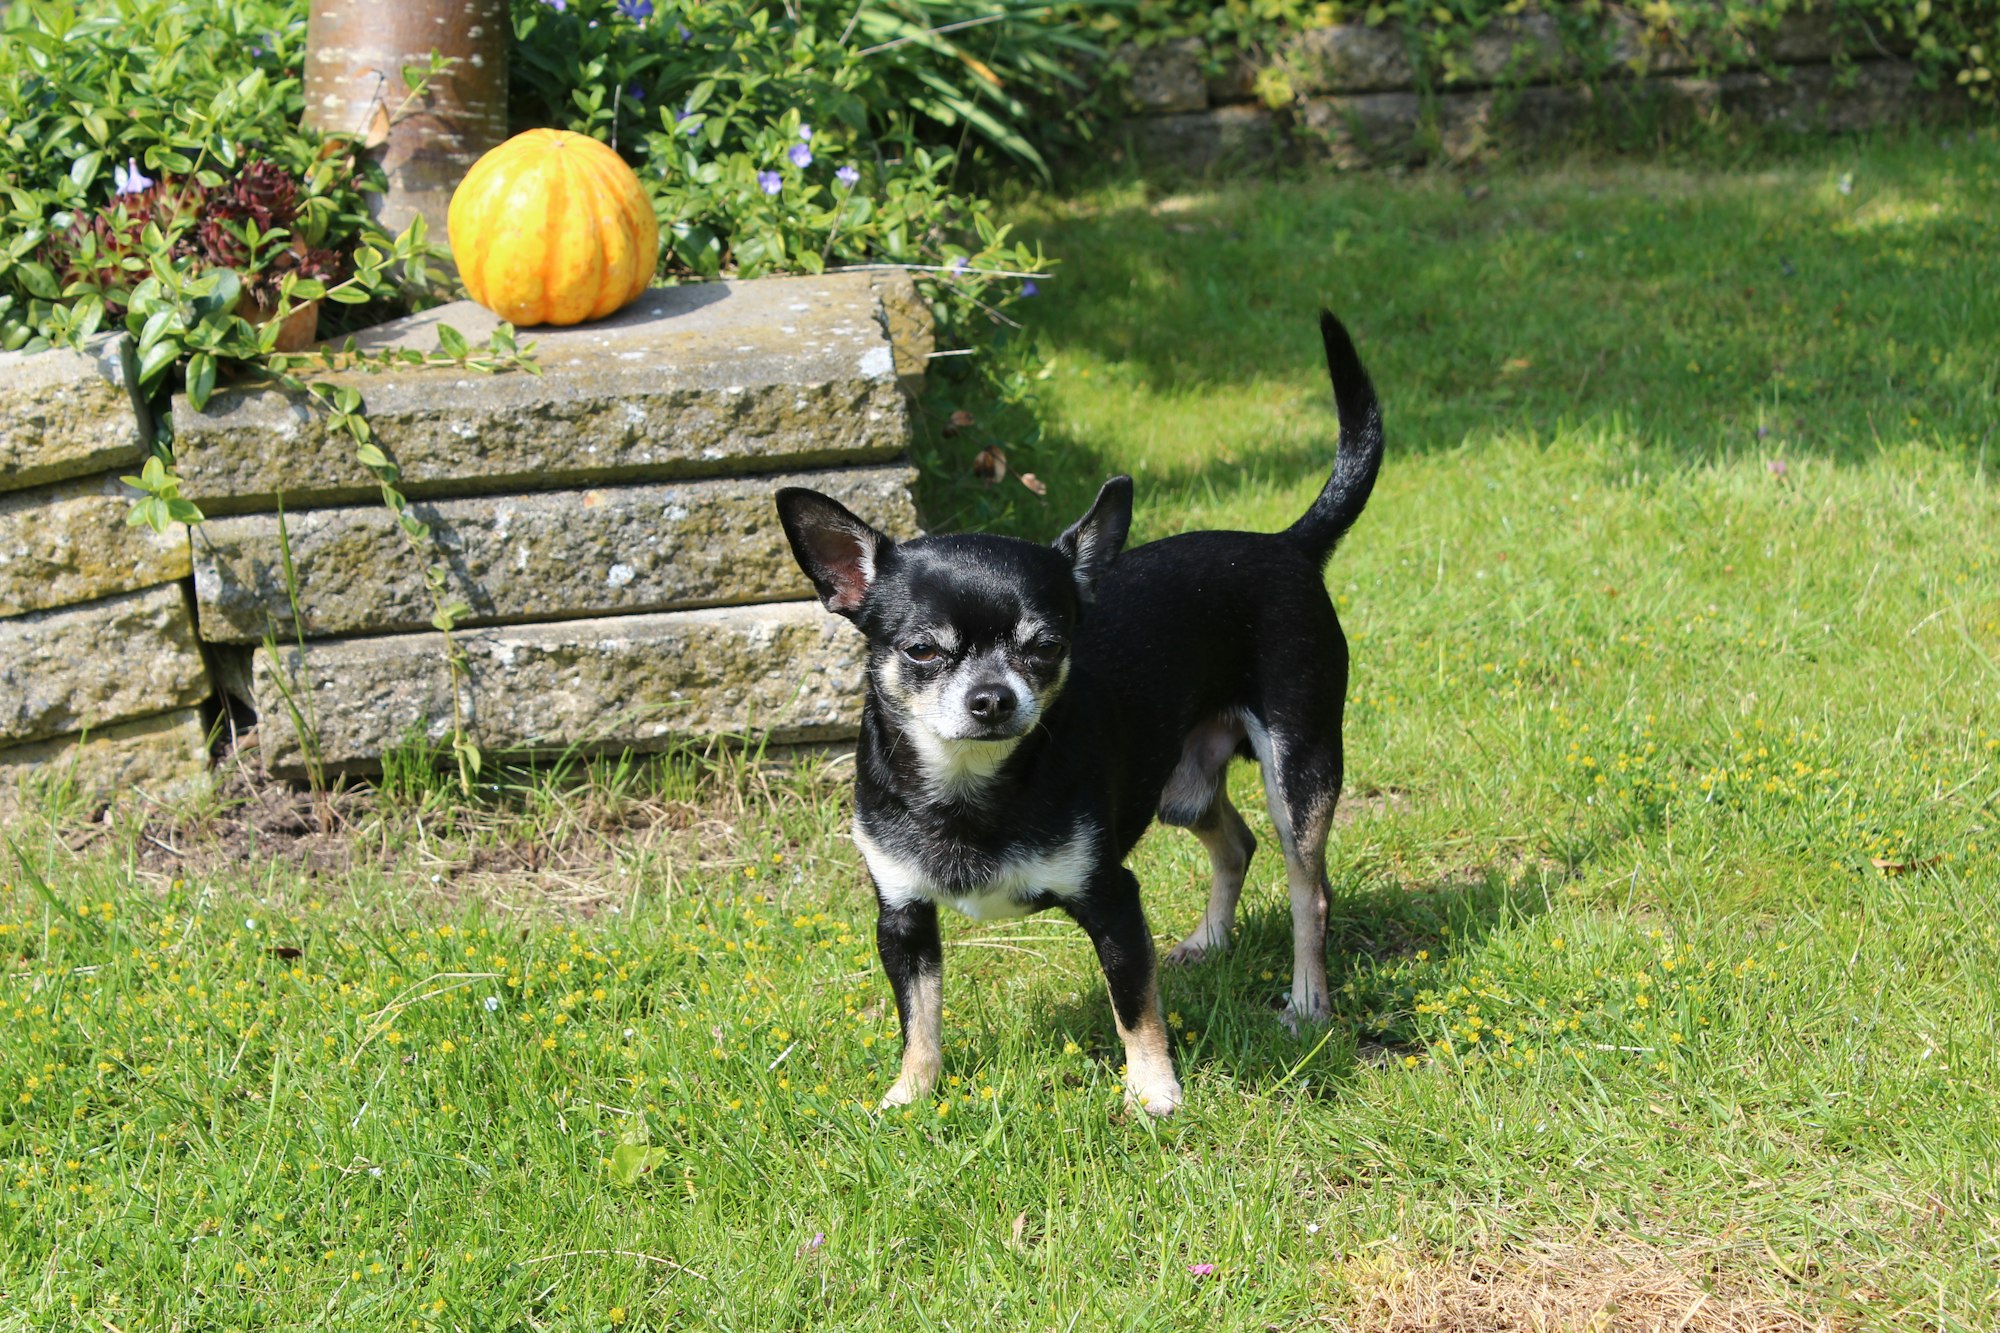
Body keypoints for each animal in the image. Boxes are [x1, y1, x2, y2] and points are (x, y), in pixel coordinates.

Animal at [772, 312, 1384, 1112]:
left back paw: (1308, 1000)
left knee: (1308, 889)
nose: (992, 697)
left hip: (1299, 770)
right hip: (1183, 787)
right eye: (921, 650)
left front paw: (1154, 1094)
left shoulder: (1113, 899)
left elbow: (1136, 1008)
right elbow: (920, 1016)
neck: (969, 788)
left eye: (1047, 646)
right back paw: (1209, 943)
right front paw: (910, 1096)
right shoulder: (902, 917)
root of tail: (1287, 544)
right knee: (1234, 841)